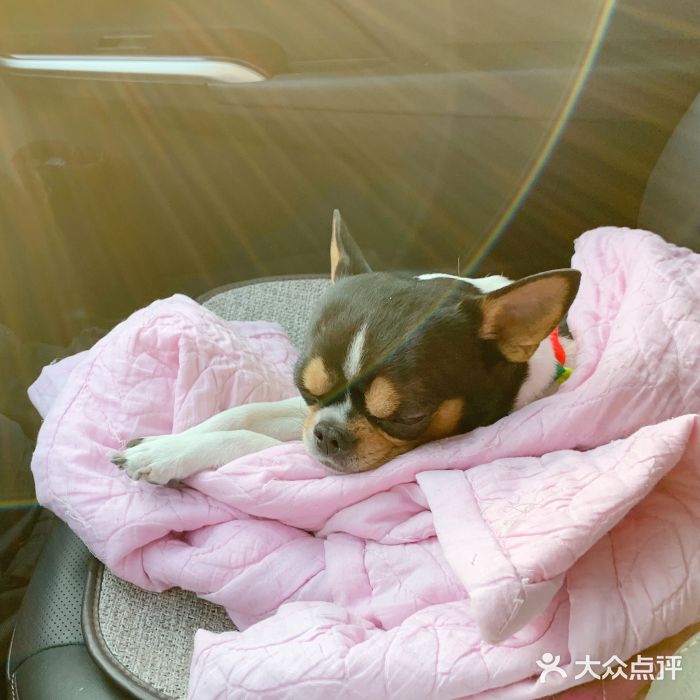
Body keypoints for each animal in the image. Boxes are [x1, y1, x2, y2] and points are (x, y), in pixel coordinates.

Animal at [113, 211, 580, 484]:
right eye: (305, 388)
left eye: (409, 416)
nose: (328, 434)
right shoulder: (305, 417)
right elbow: (243, 413)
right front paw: (169, 442)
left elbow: (245, 438)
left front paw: (175, 453)